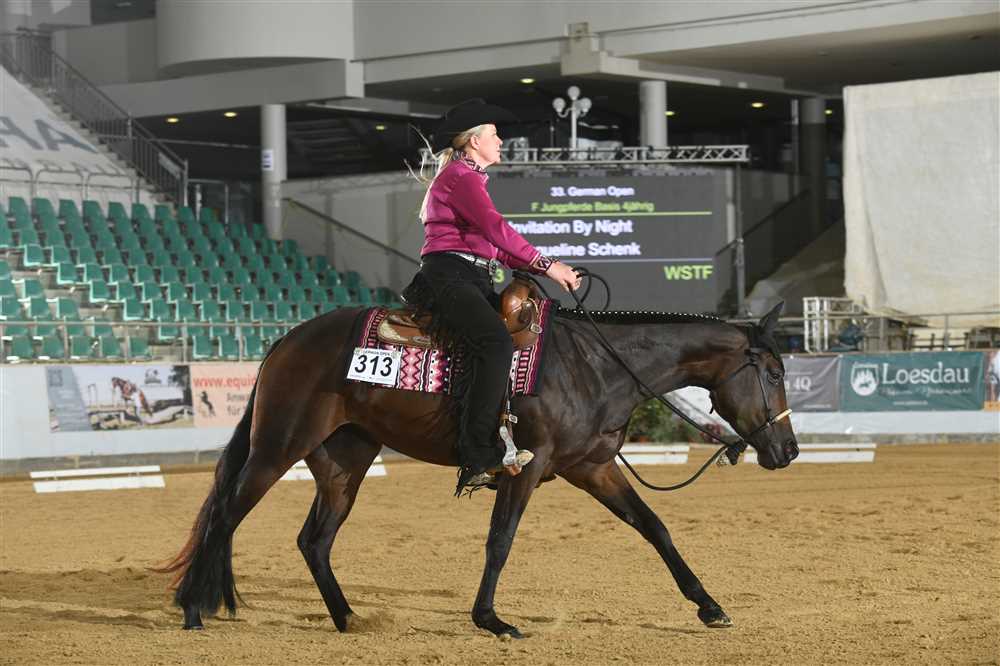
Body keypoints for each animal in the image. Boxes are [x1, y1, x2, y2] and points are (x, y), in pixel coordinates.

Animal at [159, 300, 798, 638]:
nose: (789, 450)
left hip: (344, 462)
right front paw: (491, 619)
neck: (594, 366)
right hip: (276, 449)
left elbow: (654, 527)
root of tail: (285, 342)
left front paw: (709, 606)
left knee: (313, 540)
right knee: (225, 516)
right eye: (772, 373)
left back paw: (346, 617)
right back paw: (192, 610)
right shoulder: (525, 468)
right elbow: (501, 540)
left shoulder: (591, 467)